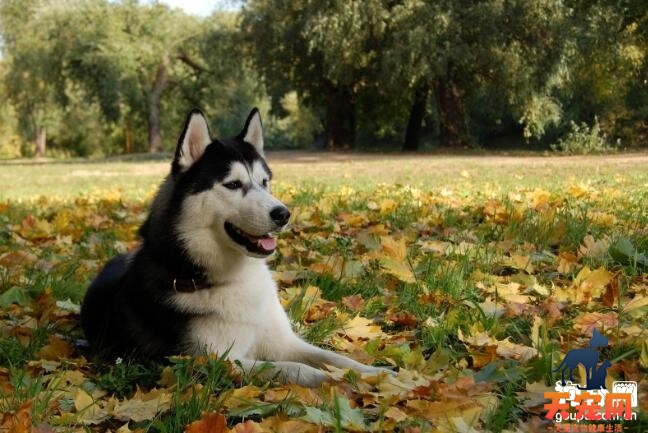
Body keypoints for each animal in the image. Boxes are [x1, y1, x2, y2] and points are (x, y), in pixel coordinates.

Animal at [79, 107, 384, 384]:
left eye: (264, 182)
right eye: (233, 184)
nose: (283, 214)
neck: (234, 278)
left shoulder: (284, 343)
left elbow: (335, 358)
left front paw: (376, 374)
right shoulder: (209, 360)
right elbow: (286, 368)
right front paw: (328, 379)